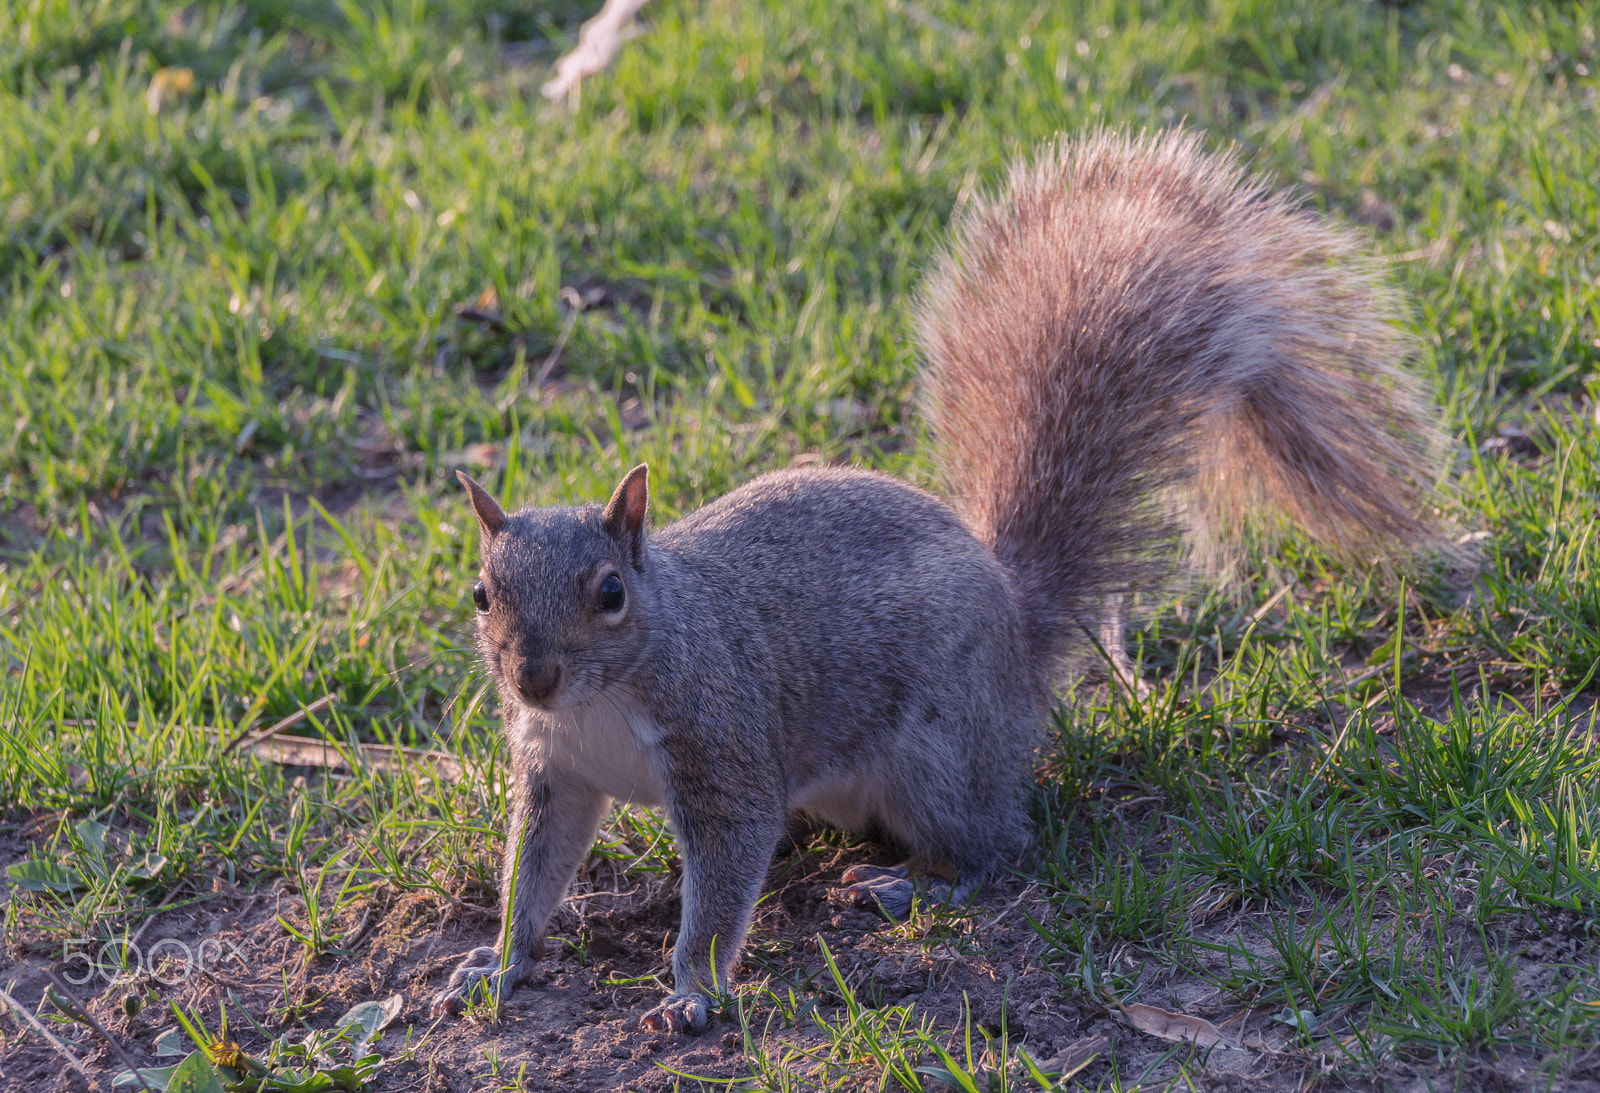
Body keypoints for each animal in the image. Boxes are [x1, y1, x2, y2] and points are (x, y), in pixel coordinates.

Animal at [432, 128, 1446, 1036]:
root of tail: (1017, 622)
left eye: (610, 593)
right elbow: (533, 873)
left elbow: (721, 880)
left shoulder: (722, 749)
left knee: (996, 843)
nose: (532, 676)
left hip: (938, 753)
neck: (602, 699)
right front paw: (497, 963)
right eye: (481, 594)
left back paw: (909, 886)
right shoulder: (556, 773)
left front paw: (689, 989)